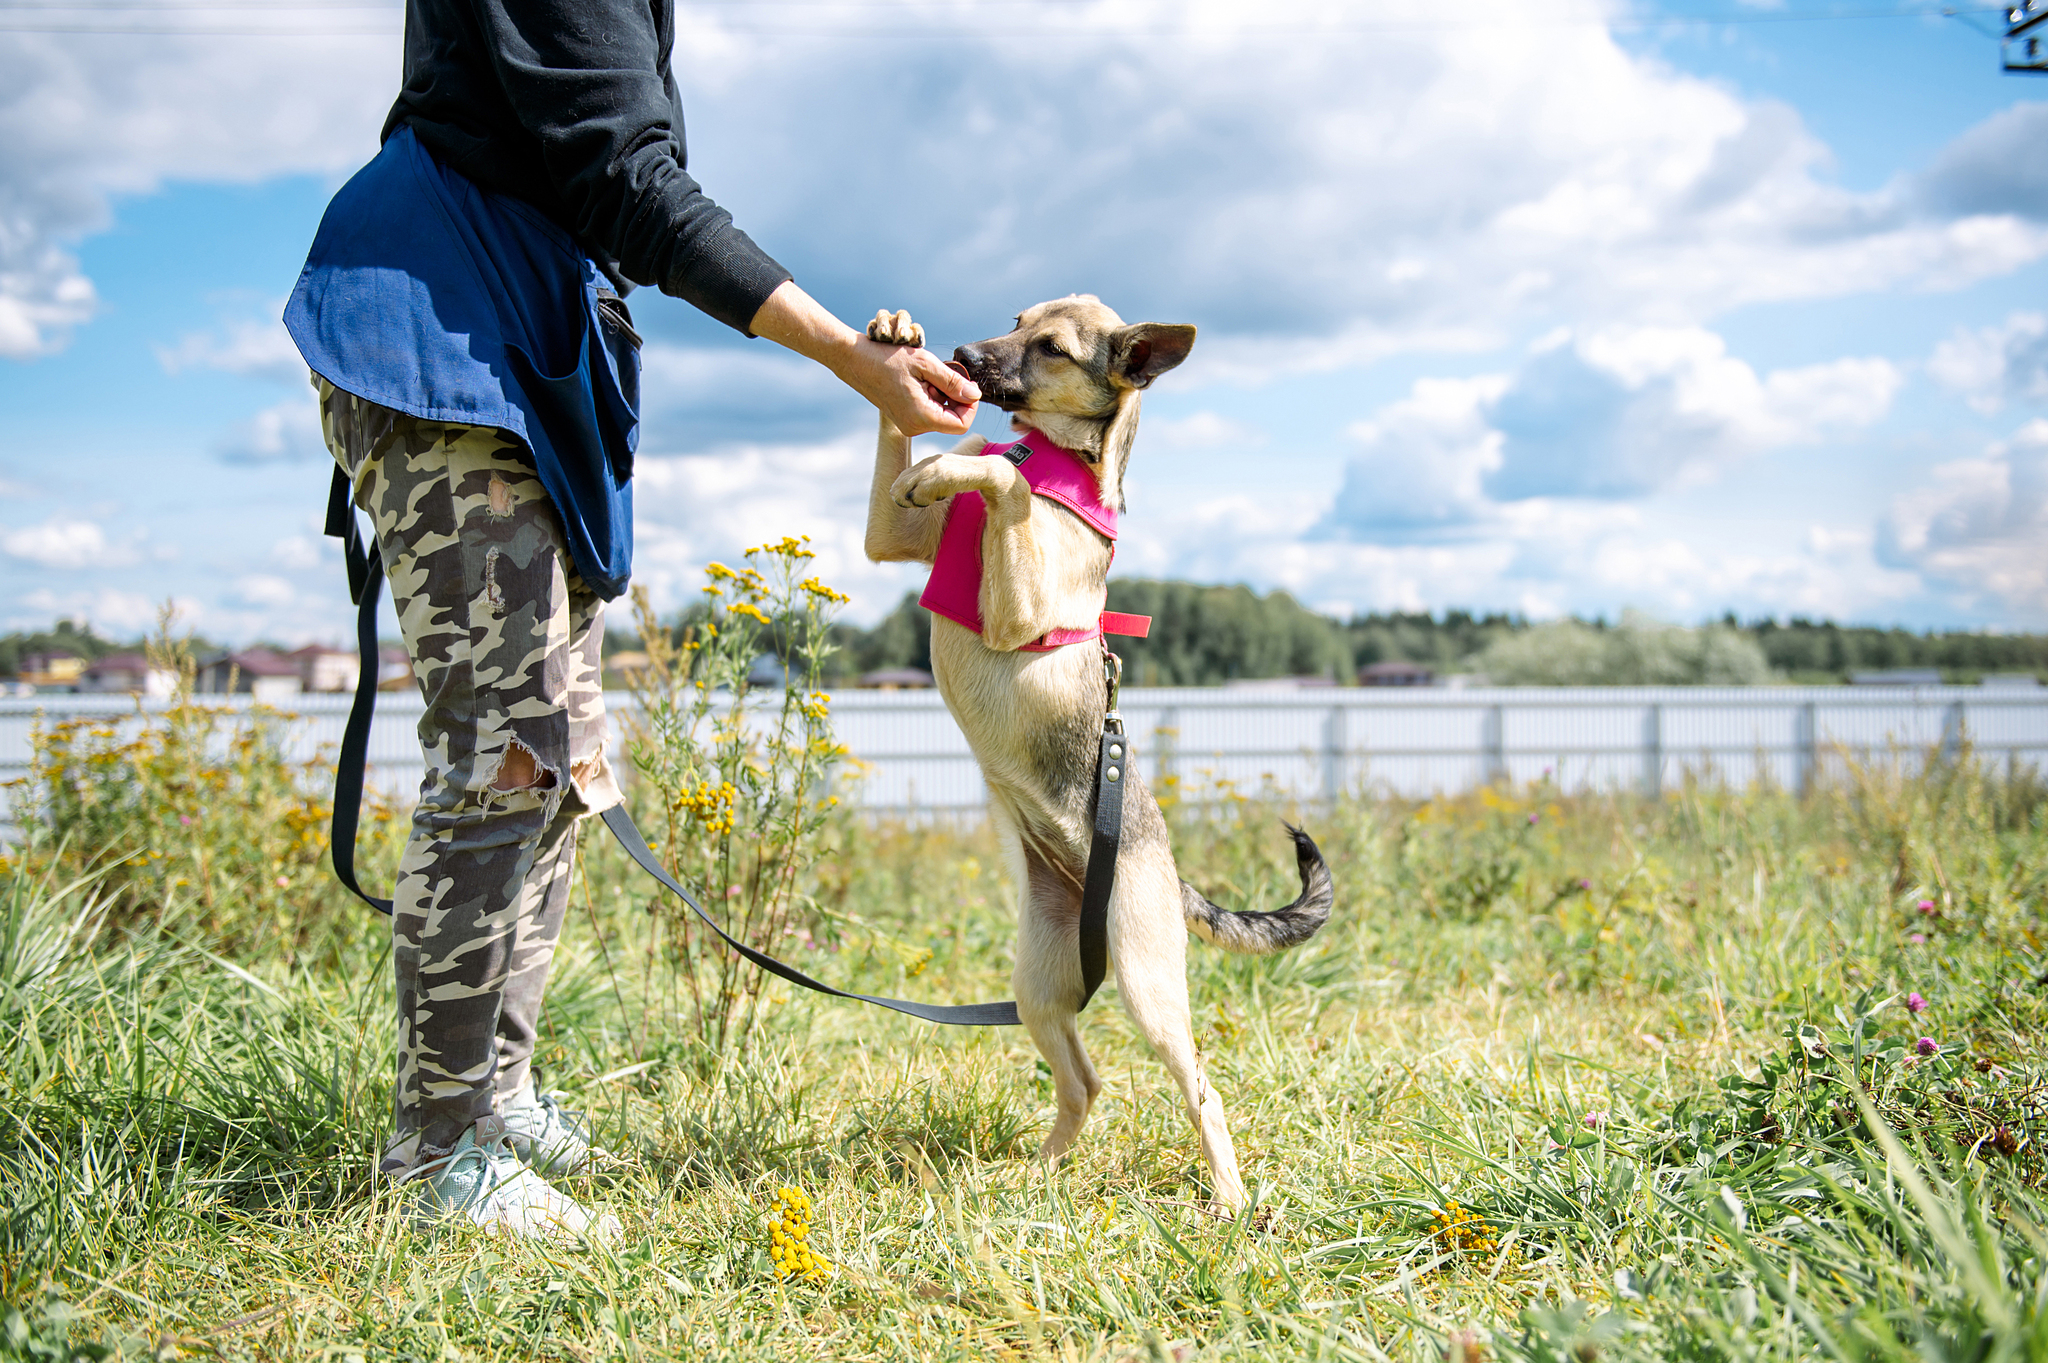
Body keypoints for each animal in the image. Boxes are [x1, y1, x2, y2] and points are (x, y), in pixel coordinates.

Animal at [860, 292, 1327, 1203]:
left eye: (1052, 348)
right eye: (1014, 321)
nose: (962, 356)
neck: (1053, 450)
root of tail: (1158, 878)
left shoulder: (1015, 611)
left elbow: (998, 477)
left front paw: (954, 467)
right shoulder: (888, 537)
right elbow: (922, 456)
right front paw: (897, 344)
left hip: (1148, 986)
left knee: (1203, 1088)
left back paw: (1230, 1199)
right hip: (1039, 984)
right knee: (1084, 1082)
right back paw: (1032, 1180)